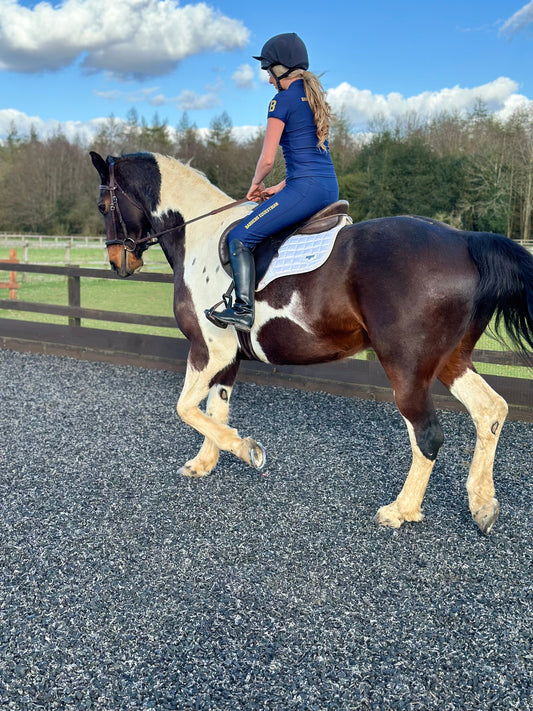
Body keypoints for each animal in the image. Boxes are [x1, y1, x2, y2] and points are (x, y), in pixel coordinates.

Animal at [89, 150, 528, 536]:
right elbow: (215, 408)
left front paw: (246, 449)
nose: (117, 263)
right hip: (451, 360)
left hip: (406, 367)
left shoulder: (208, 348)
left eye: (102, 205)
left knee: (429, 435)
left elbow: (185, 407)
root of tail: (465, 241)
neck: (198, 236)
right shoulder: (228, 355)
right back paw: (483, 505)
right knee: (490, 411)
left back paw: (401, 510)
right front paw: (205, 462)